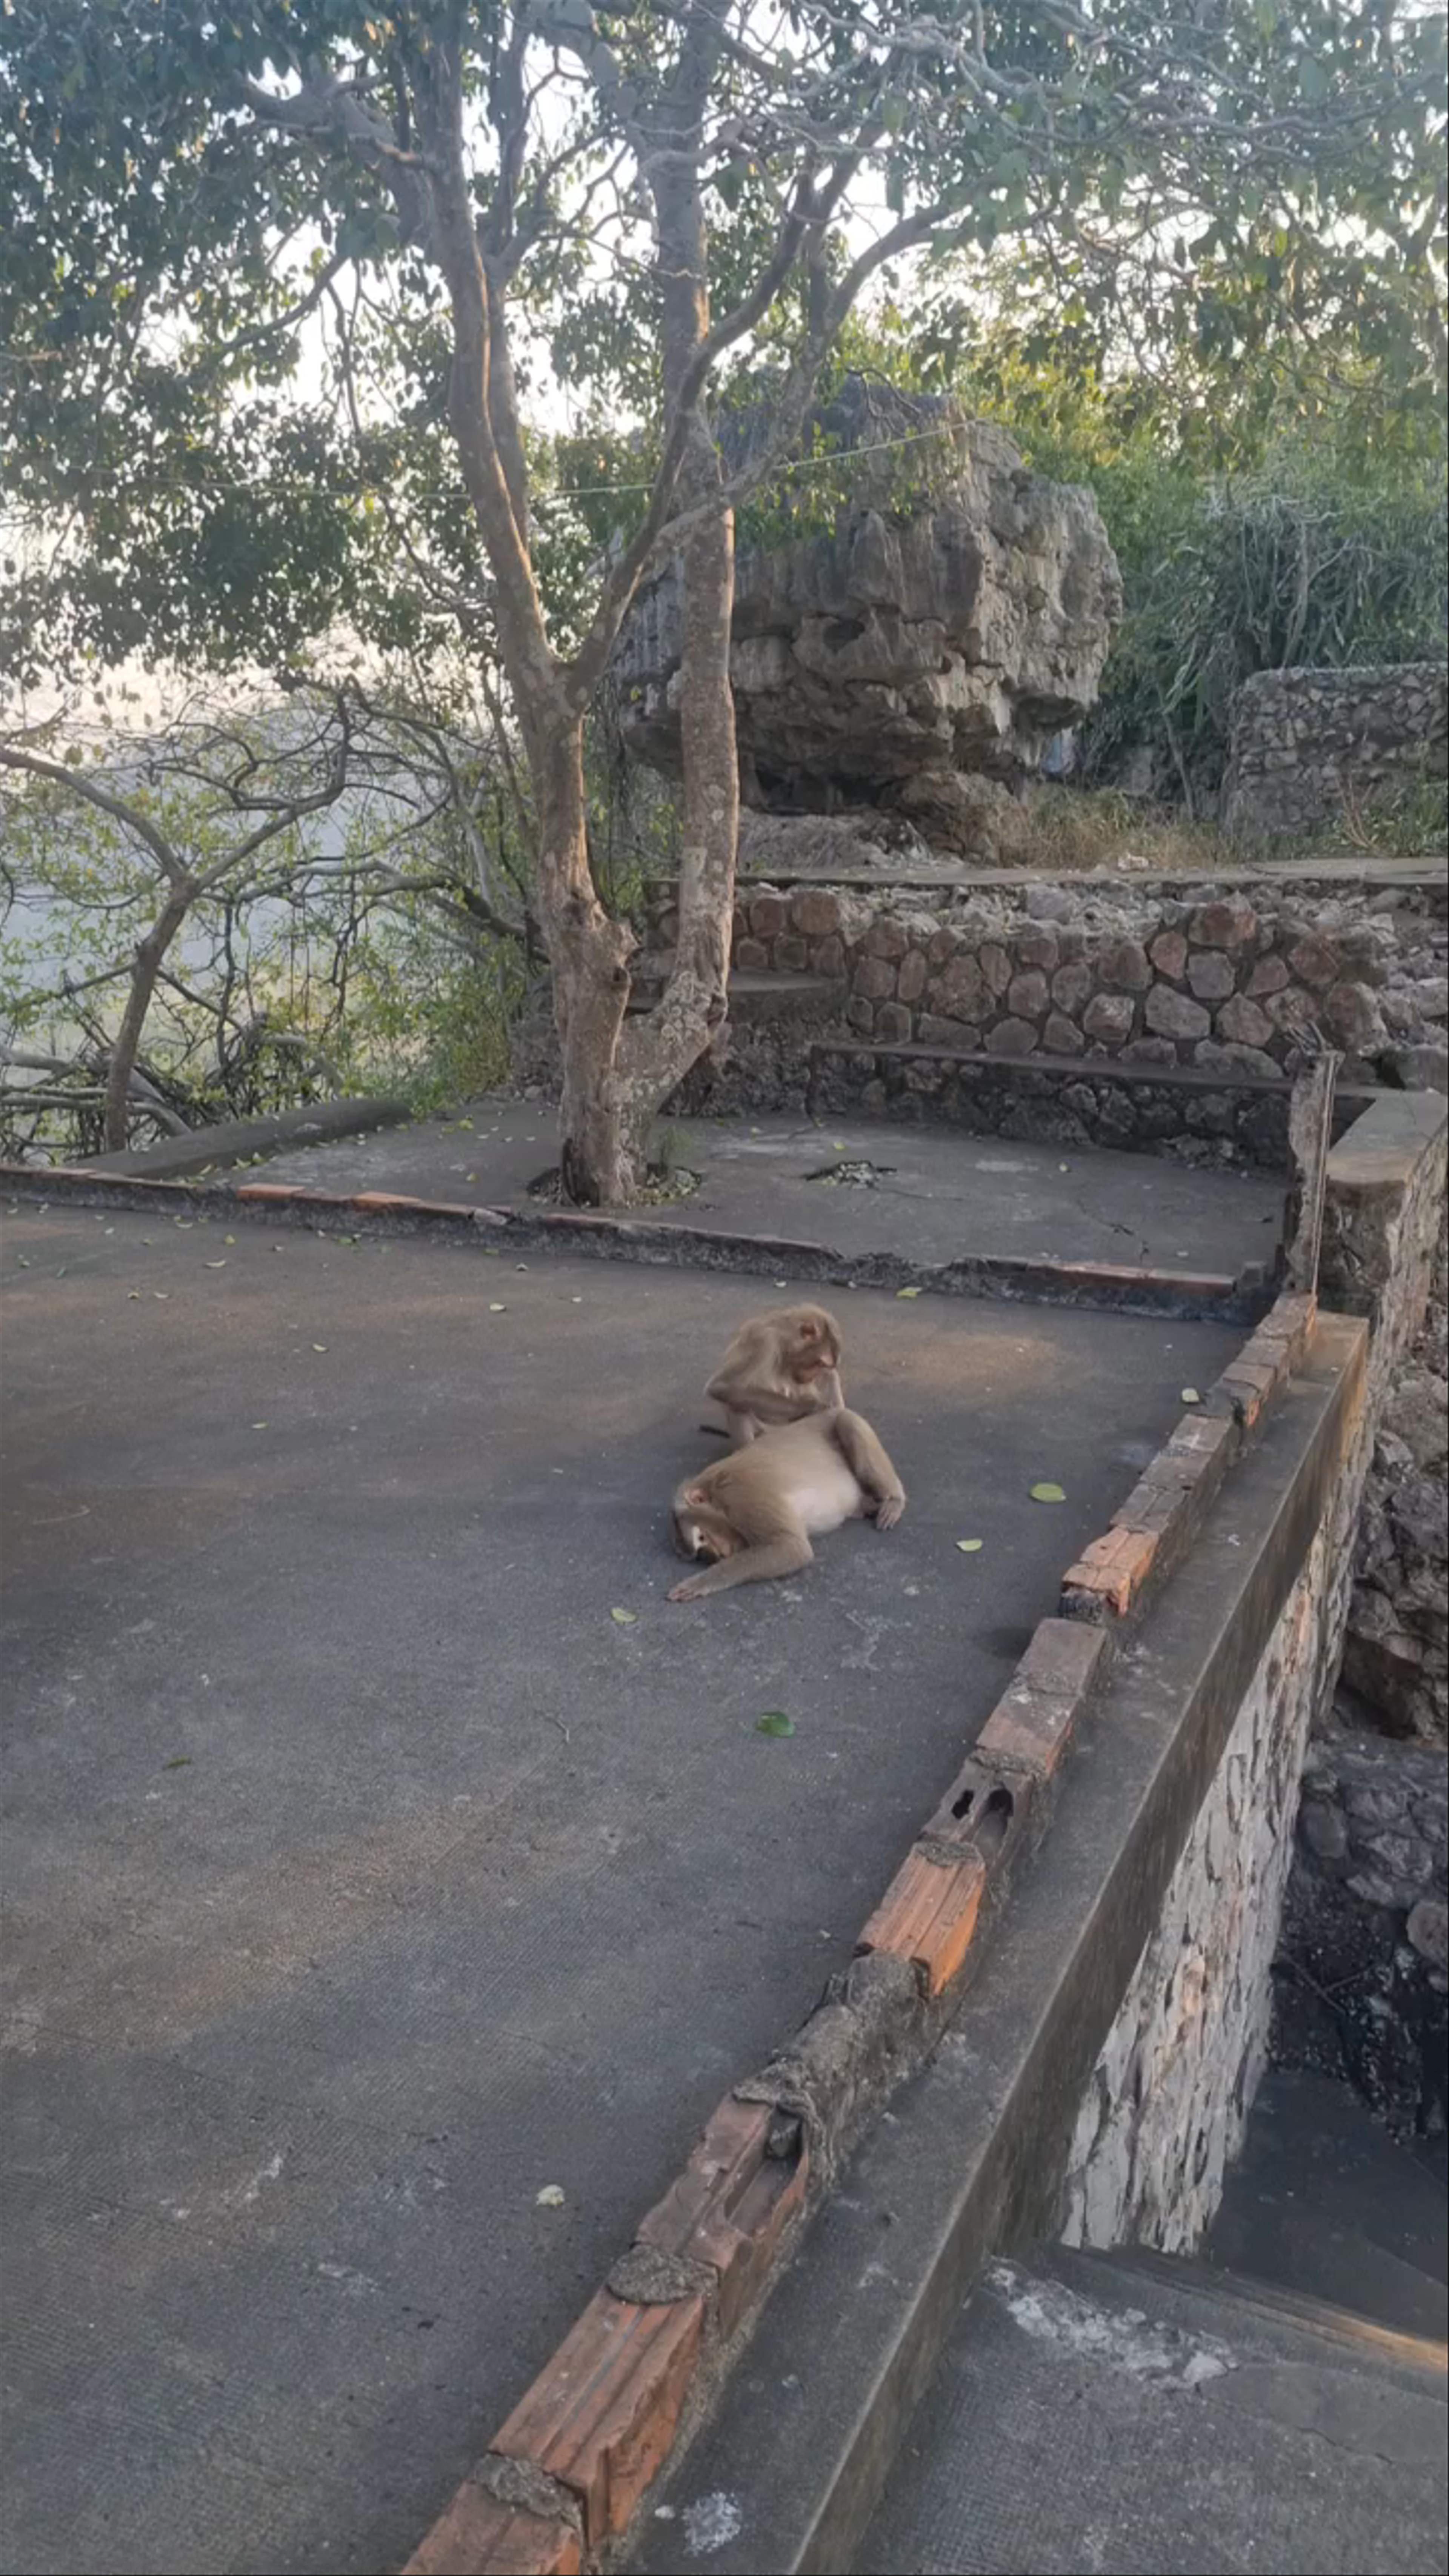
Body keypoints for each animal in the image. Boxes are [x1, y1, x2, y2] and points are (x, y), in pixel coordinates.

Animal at [668, 1407, 905, 1602]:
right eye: (700, 1553)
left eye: (702, 1537)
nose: (716, 1556)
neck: (714, 1490)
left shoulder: (741, 1495)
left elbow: (792, 1547)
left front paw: (701, 1582)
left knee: (847, 1422)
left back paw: (895, 1500)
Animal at [703, 1303, 845, 1449]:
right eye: (819, 1363)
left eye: (823, 1365)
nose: (813, 1376)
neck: (783, 1343)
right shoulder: (763, 1342)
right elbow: (724, 1386)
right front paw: (815, 1406)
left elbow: (830, 1375)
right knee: (736, 1402)